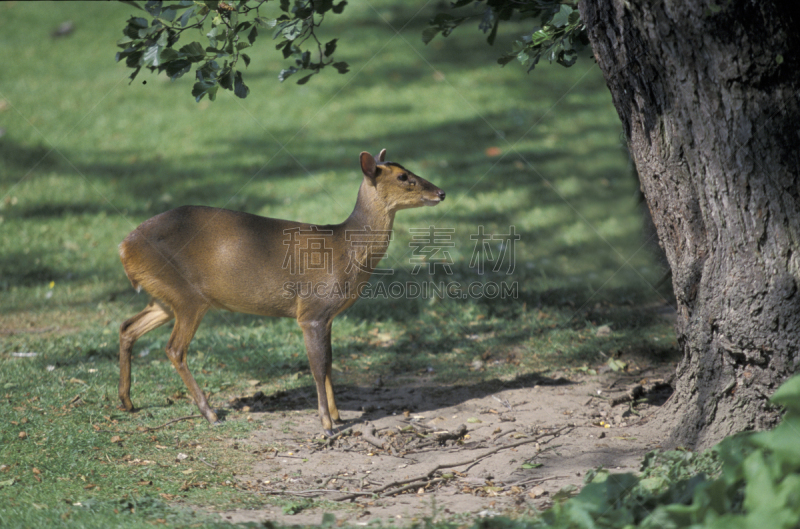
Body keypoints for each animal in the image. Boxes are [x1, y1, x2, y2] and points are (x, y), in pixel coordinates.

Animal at [116, 147, 446, 434]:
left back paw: (127, 402)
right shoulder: (311, 311)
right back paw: (210, 413)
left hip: (164, 296)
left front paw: (338, 416)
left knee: (128, 326)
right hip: (187, 296)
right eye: (403, 176)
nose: (441, 192)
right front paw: (326, 424)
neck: (344, 249)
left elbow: (330, 362)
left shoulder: (328, 316)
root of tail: (124, 247)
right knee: (174, 348)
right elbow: (317, 367)